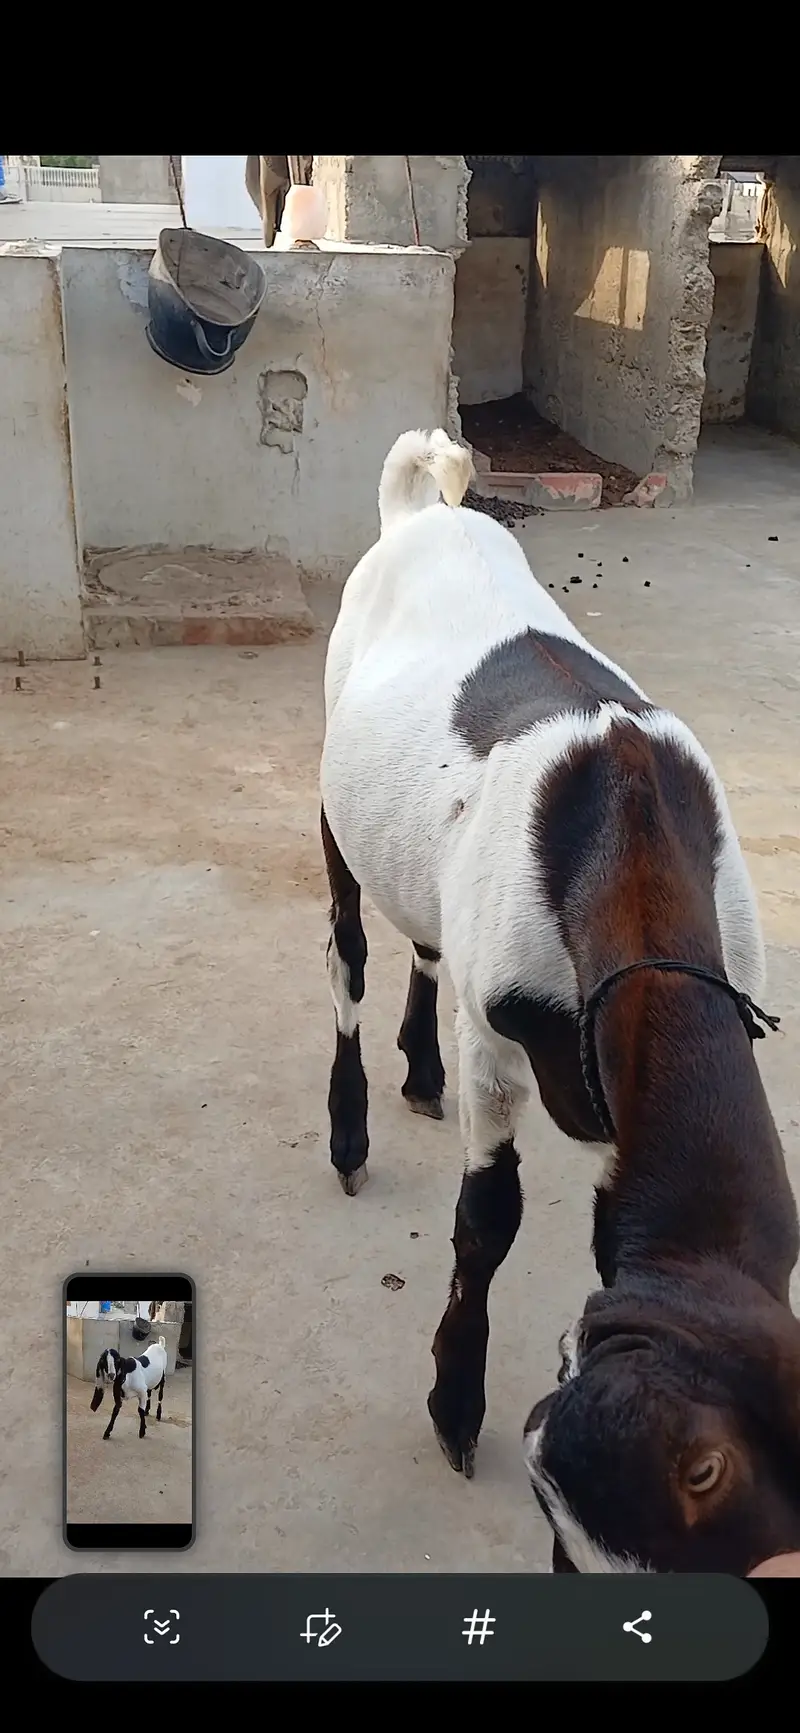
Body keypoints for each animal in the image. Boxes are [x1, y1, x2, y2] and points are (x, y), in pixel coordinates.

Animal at [319, 427, 800, 1574]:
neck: (627, 841)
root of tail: (421, 511)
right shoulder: (502, 1045)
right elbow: (486, 1218)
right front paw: (453, 1403)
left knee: (424, 939)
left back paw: (418, 1069)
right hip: (333, 810)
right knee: (349, 955)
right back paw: (351, 1130)